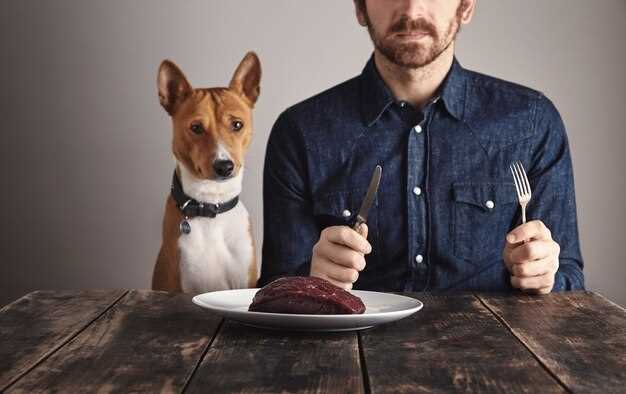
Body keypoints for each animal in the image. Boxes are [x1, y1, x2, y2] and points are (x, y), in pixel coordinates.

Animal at [152, 52, 260, 292]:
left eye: (237, 125)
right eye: (196, 128)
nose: (224, 166)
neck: (212, 206)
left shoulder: (243, 283)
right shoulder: (186, 284)